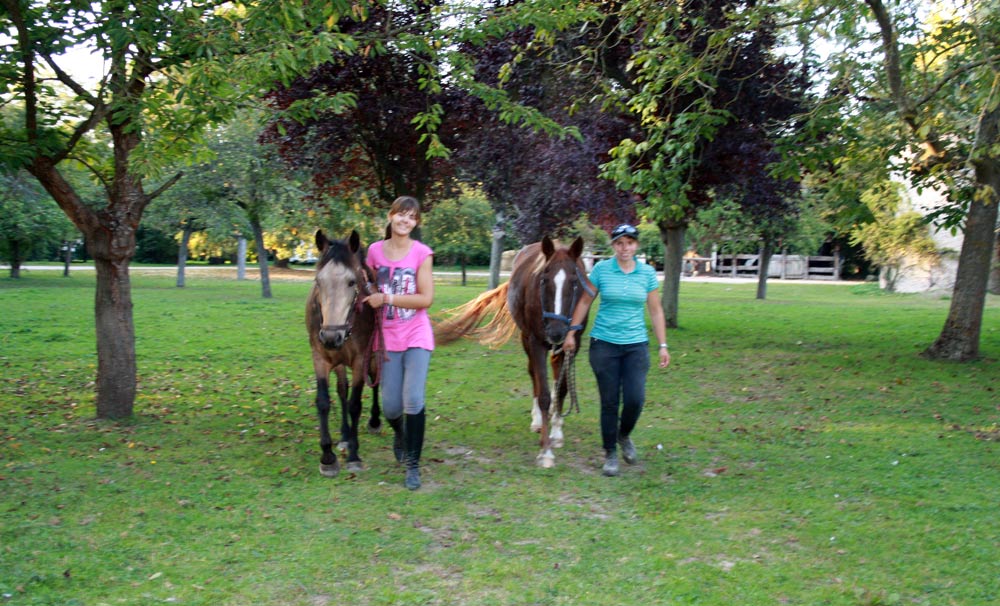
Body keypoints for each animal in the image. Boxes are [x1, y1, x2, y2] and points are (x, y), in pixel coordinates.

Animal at [304, 230, 382, 478]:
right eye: (318, 281)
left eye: (351, 282)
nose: (331, 336)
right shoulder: (320, 357)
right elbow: (324, 401)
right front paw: (328, 457)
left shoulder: (360, 360)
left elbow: (355, 403)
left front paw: (354, 456)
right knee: (342, 390)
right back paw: (346, 436)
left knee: (375, 382)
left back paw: (375, 421)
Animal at [438, 238, 592, 470]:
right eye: (544, 279)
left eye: (575, 282)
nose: (556, 332)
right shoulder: (536, 343)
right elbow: (544, 394)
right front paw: (545, 451)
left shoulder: (573, 343)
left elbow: (563, 389)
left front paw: (556, 433)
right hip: (527, 339)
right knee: (534, 376)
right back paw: (537, 420)